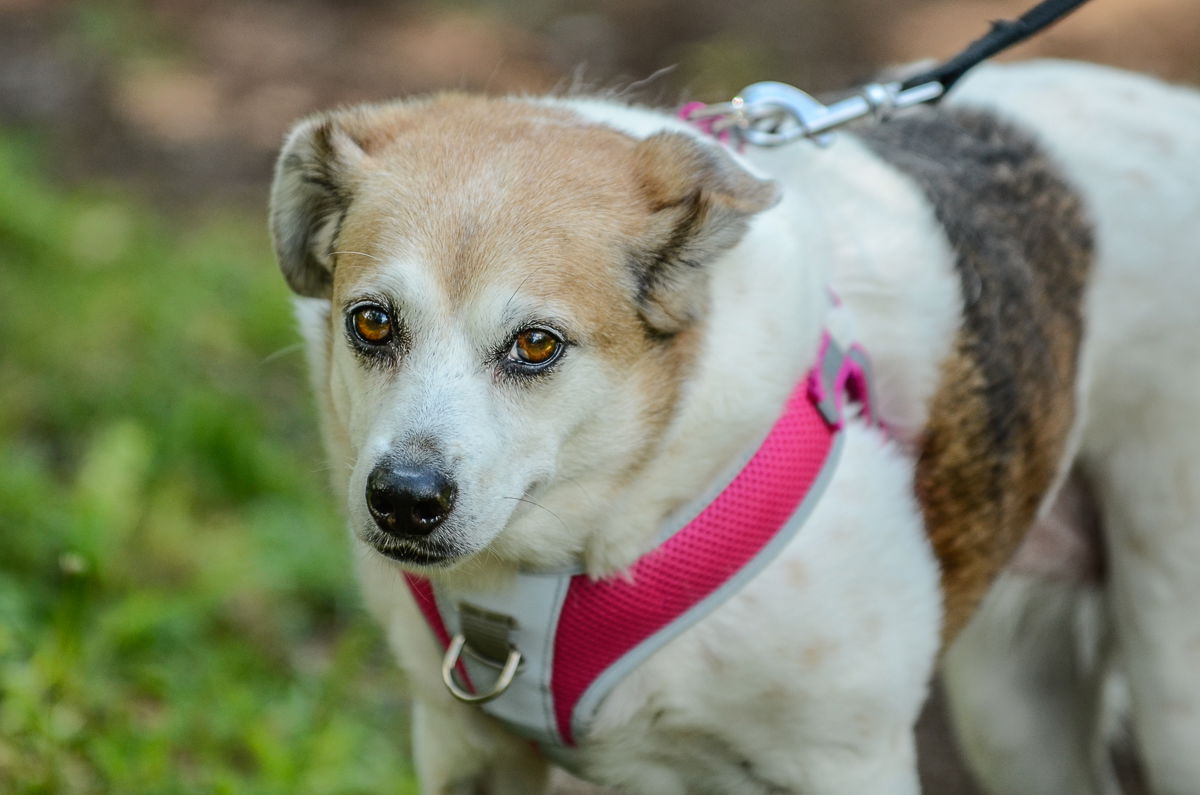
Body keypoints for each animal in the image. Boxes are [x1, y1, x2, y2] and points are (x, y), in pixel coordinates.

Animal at [270, 63, 1200, 795]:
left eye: (536, 344)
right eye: (372, 322)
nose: (403, 498)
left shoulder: (844, 762)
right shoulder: (467, 745)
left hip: (1170, 677)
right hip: (1014, 706)